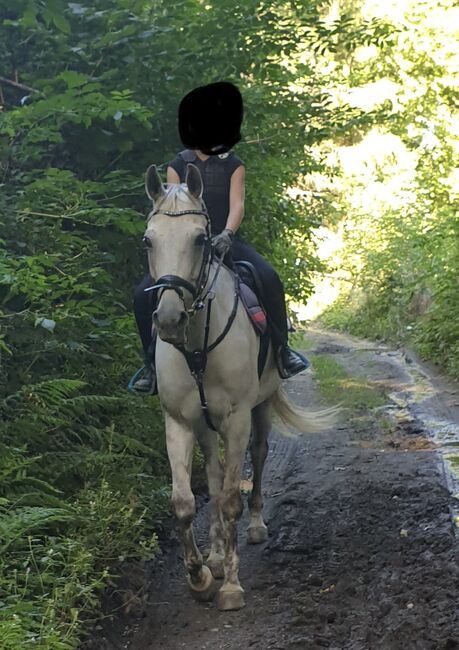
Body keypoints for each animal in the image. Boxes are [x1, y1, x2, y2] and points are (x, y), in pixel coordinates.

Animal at [142, 162, 336, 608]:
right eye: (148, 240)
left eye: (200, 239)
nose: (169, 320)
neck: (197, 343)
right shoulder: (178, 421)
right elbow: (185, 502)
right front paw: (200, 576)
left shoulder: (236, 419)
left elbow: (232, 498)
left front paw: (230, 585)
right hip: (204, 425)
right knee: (212, 477)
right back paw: (214, 556)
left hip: (258, 410)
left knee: (259, 458)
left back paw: (256, 527)